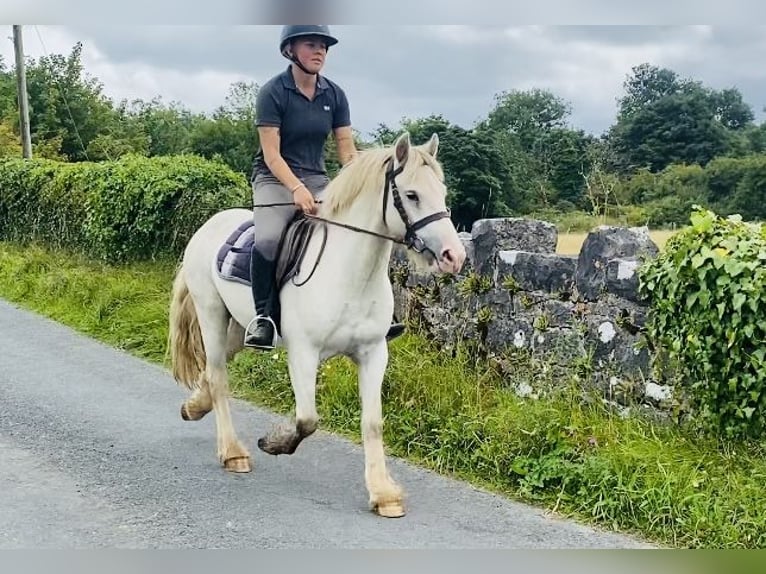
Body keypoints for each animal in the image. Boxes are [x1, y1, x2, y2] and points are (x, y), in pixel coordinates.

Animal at [169, 133, 468, 520]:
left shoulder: (374, 354)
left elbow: (372, 422)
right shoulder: (304, 353)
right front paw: (274, 443)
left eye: (442, 192)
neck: (349, 273)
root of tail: (210, 225)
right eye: (413, 194)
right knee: (218, 377)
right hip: (212, 316)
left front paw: (384, 493)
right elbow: (307, 419)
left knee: (210, 371)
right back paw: (233, 453)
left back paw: (194, 407)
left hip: (236, 328)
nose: (454, 256)